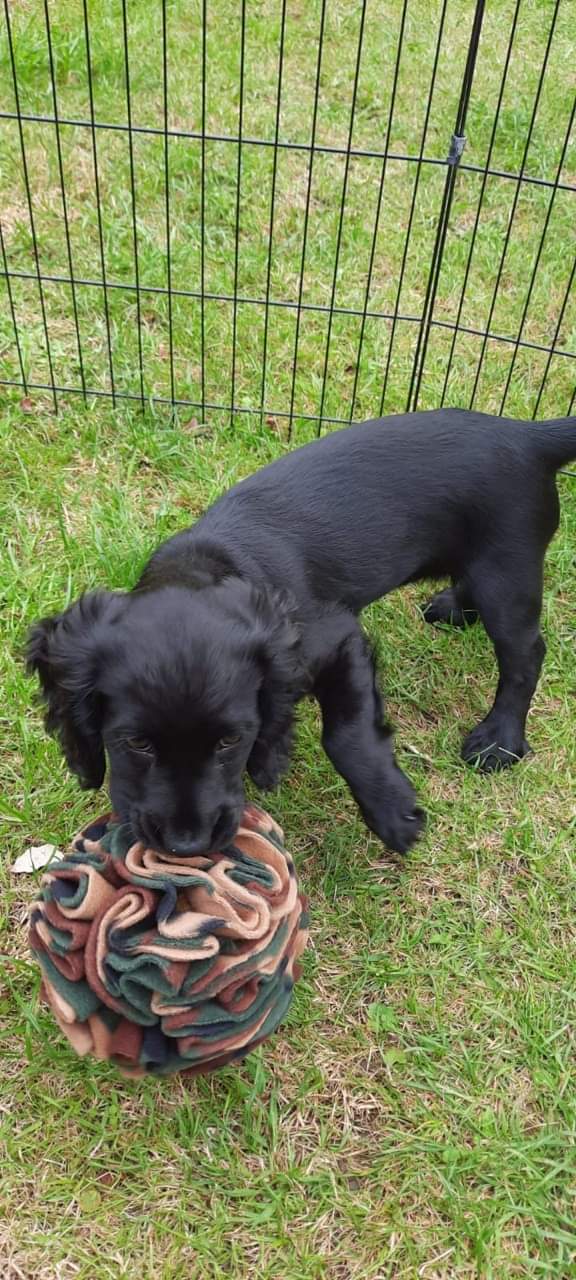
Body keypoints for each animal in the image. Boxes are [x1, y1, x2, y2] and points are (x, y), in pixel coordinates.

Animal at [28, 407, 576, 849]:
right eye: (135, 744)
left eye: (231, 741)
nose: (188, 845)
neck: (209, 565)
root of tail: (528, 434)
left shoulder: (336, 641)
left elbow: (346, 733)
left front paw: (392, 812)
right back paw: (453, 607)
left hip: (507, 572)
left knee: (526, 654)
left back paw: (499, 739)